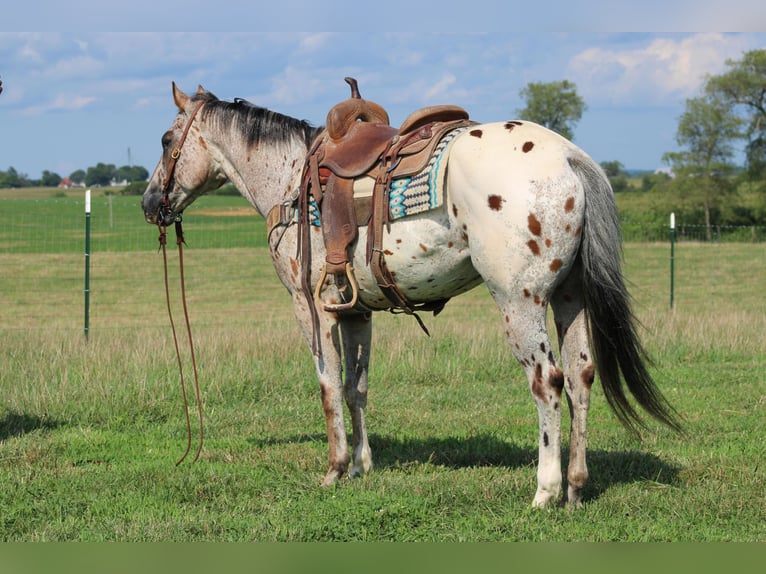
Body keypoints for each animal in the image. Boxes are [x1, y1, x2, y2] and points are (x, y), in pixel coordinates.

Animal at [141, 82, 680, 508]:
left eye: (166, 139)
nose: (149, 204)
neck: (291, 178)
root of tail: (570, 157)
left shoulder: (312, 308)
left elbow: (328, 386)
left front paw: (335, 469)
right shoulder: (356, 312)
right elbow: (356, 387)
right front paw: (363, 465)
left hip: (519, 302)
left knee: (547, 380)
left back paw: (544, 491)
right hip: (571, 298)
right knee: (582, 376)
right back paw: (574, 487)